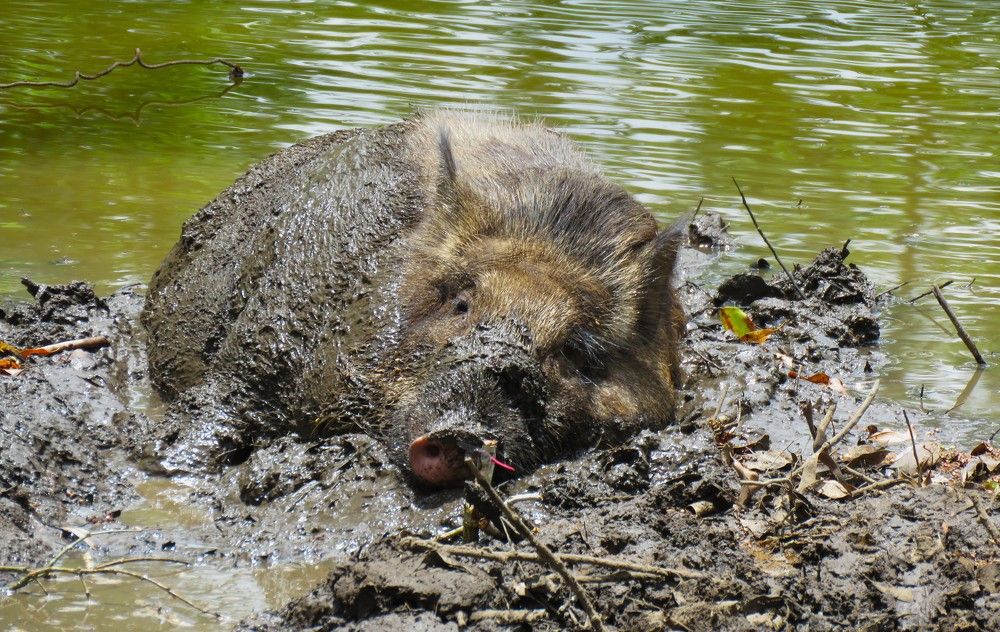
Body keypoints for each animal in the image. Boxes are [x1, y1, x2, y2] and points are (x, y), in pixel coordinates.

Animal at [142, 111, 684, 487]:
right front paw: (166, 467)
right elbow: (214, 411)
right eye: (460, 303)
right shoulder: (263, 340)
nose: (460, 433)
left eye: (575, 348)